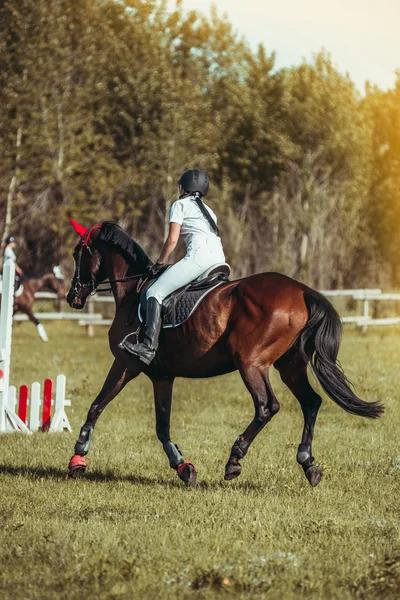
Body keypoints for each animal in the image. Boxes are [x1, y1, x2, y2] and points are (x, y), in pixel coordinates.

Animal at [65, 220, 384, 488]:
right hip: (290, 366)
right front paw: (183, 468)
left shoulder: (125, 364)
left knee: (267, 406)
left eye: (76, 253)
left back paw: (235, 459)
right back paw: (308, 464)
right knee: (310, 402)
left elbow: (97, 406)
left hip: (252, 363)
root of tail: (302, 291)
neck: (133, 292)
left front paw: (77, 459)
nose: (72, 297)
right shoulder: (162, 376)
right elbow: (161, 426)